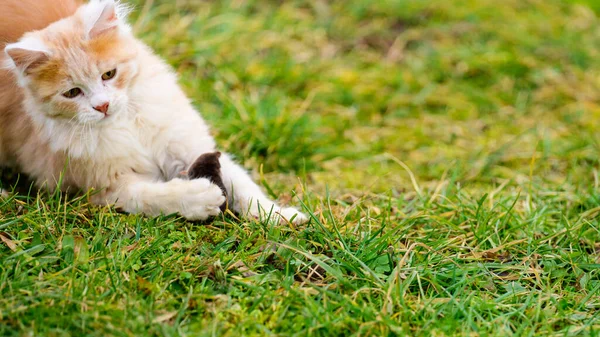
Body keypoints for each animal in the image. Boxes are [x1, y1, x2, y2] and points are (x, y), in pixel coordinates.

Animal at [0, 0, 308, 223]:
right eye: (73, 93)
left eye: (109, 74)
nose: (102, 106)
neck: (127, 126)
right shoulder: (105, 187)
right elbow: (154, 196)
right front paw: (198, 198)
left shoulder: (188, 143)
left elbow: (242, 184)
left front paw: (278, 215)